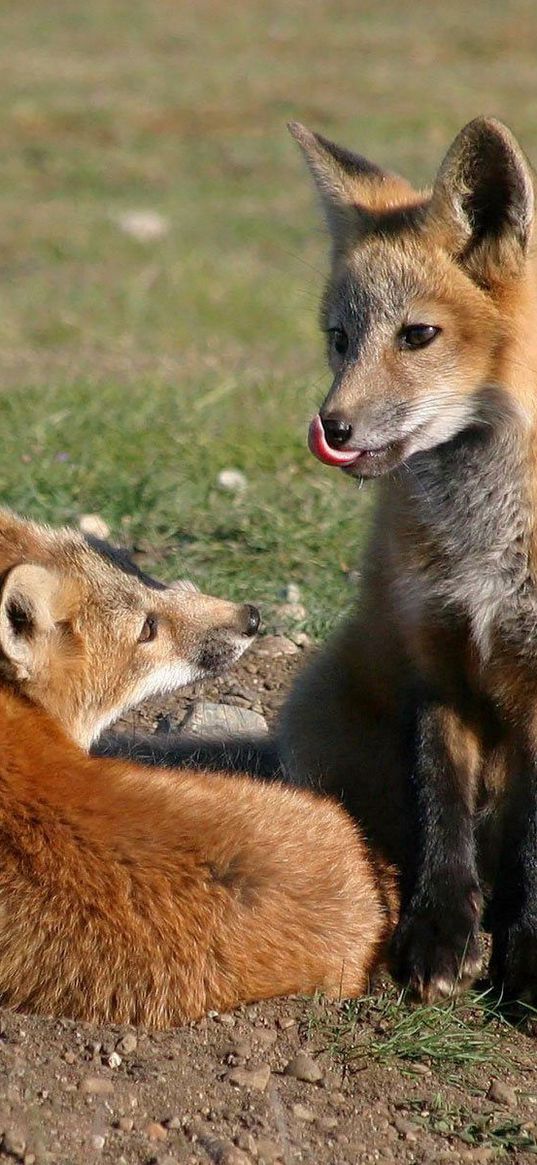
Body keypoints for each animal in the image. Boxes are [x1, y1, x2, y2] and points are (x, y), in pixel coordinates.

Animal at [276, 120, 537, 1011]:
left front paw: (526, 956)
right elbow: (439, 802)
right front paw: (437, 933)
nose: (331, 427)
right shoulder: (432, 649)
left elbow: (534, 847)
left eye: (416, 335)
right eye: (338, 339)